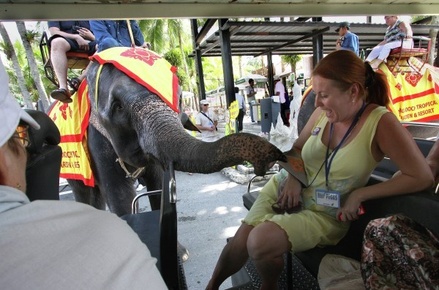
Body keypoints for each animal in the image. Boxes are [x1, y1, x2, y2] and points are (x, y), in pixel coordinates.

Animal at [65, 47, 286, 216]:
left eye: (178, 99)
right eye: (118, 107)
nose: (272, 161)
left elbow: (157, 187)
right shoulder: (98, 142)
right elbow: (120, 197)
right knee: (85, 193)